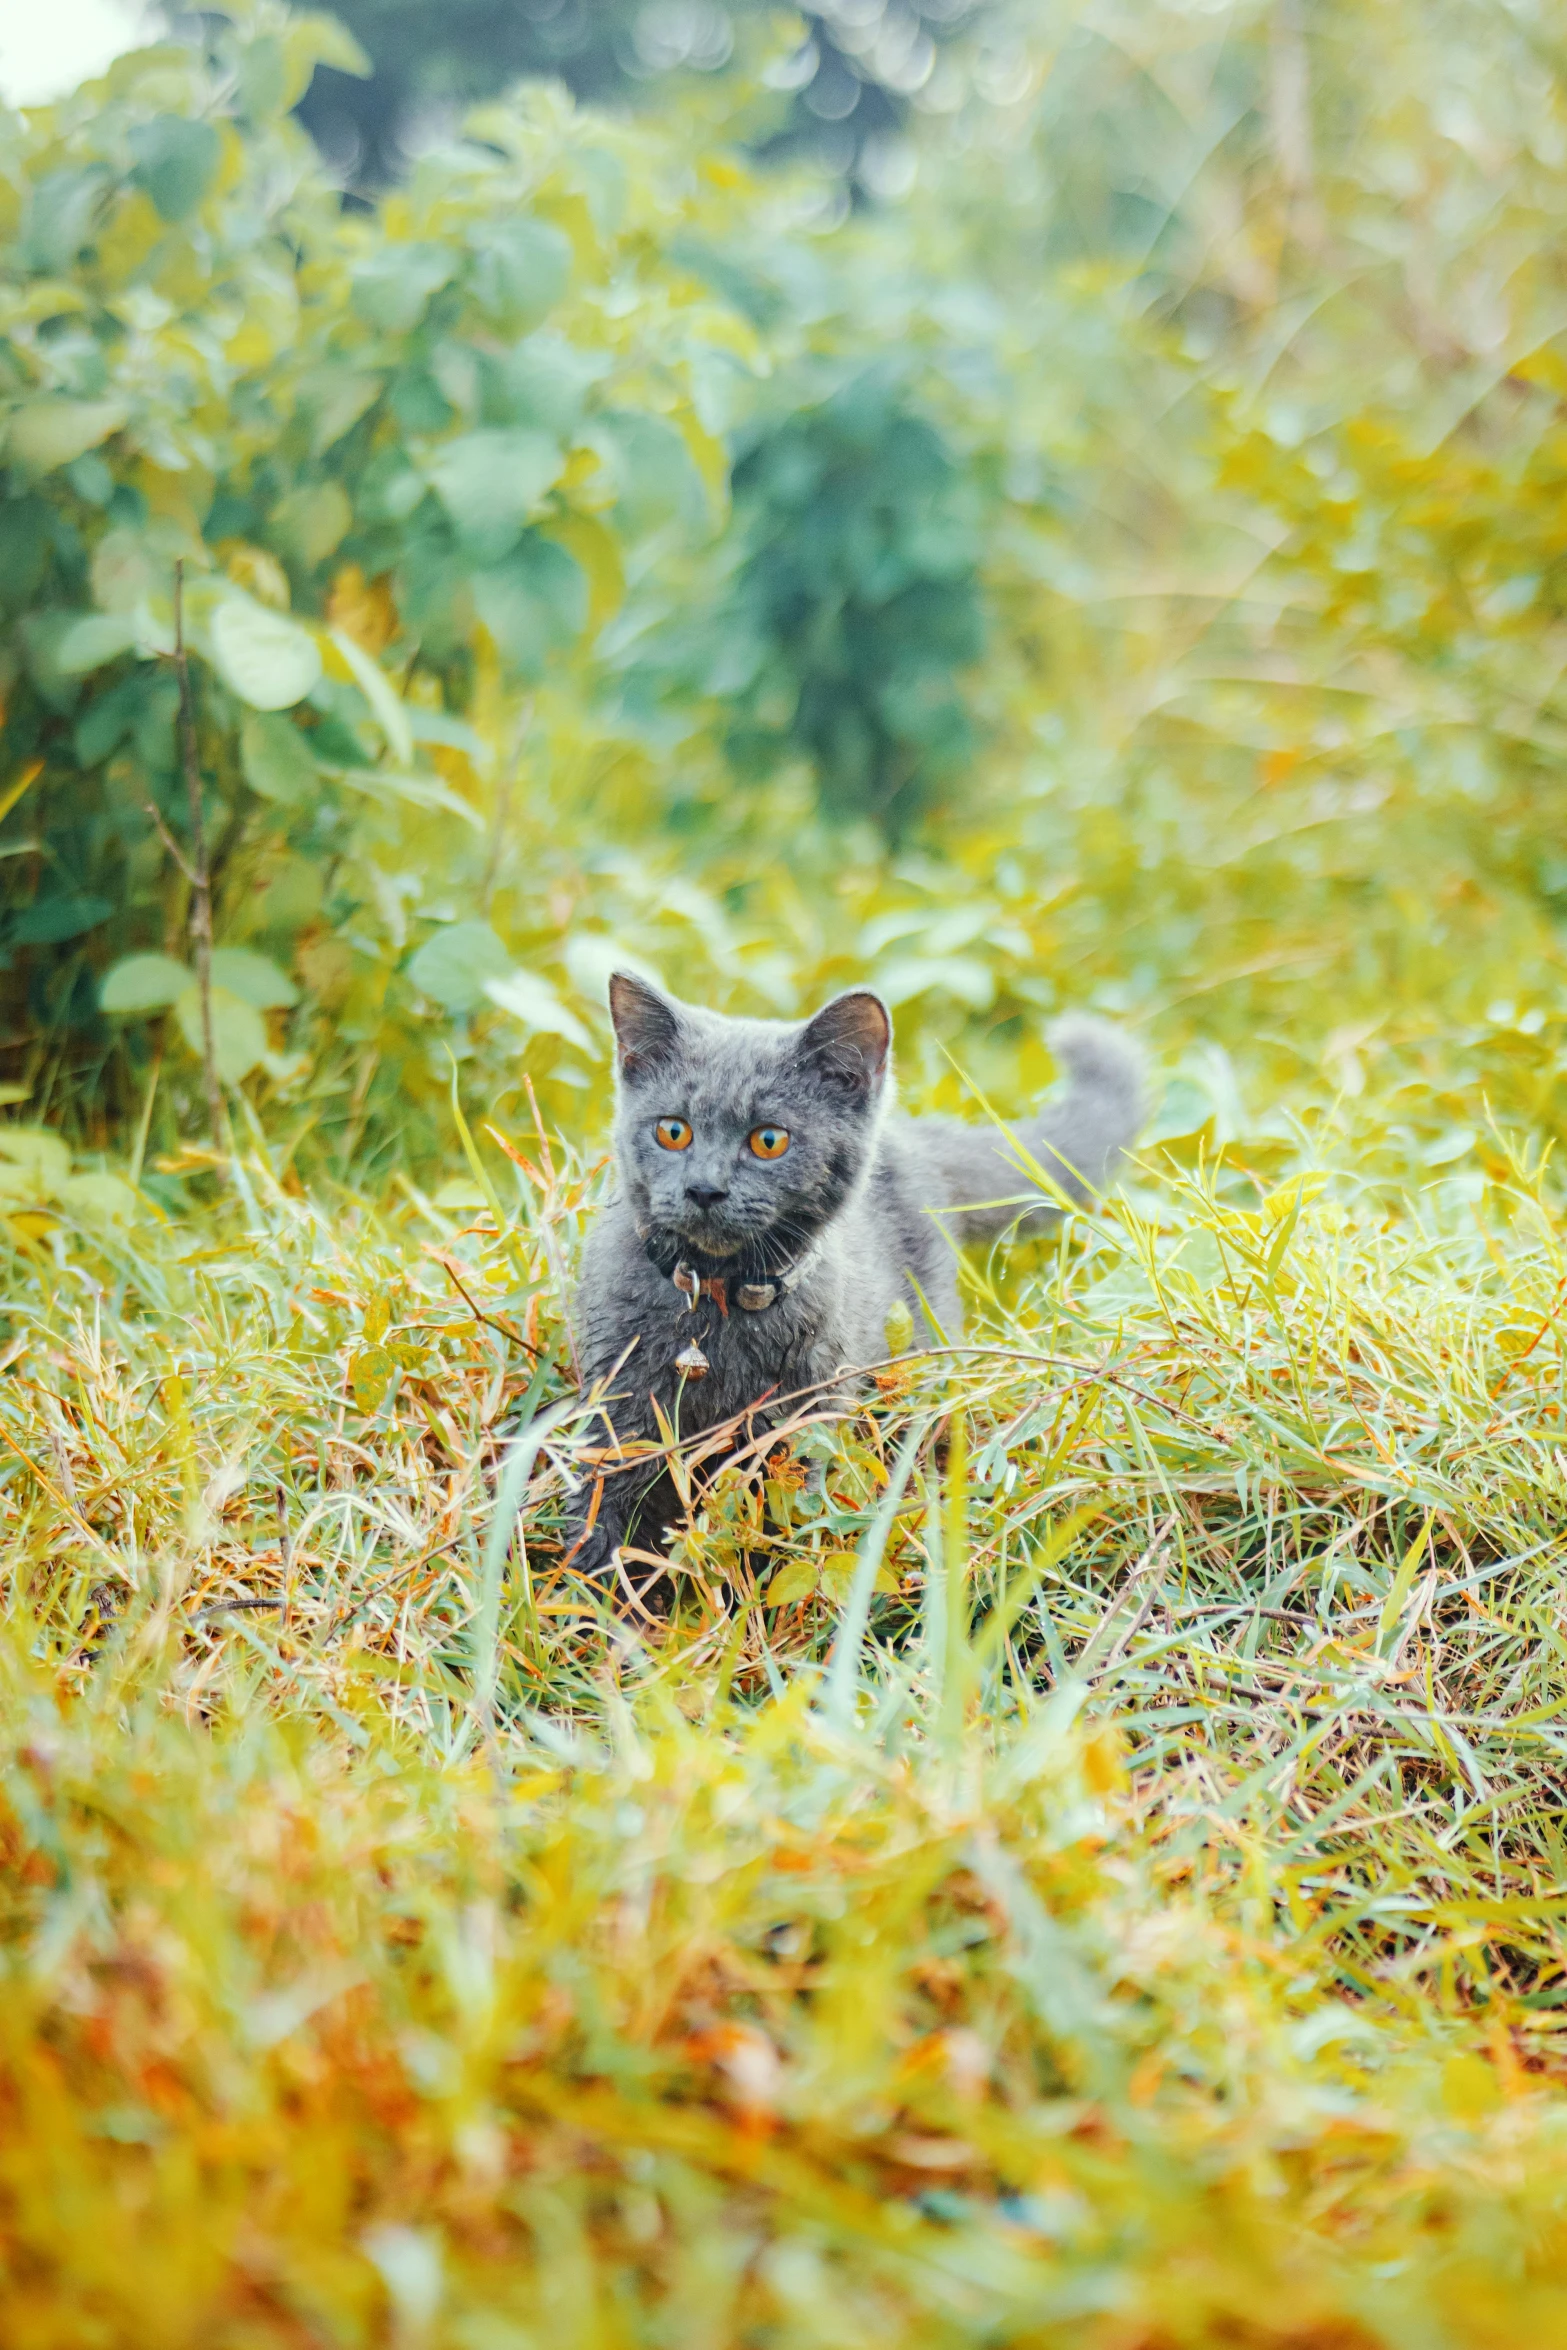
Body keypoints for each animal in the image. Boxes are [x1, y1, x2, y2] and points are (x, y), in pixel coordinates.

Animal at [563, 972, 1141, 1579]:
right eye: (673, 1131)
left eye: (769, 1140)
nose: (704, 1188)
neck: (715, 1305)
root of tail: (912, 1139)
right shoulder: (617, 1402)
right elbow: (601, 1505)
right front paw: (591, 1590)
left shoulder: (805, 1416)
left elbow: (784, 1529)